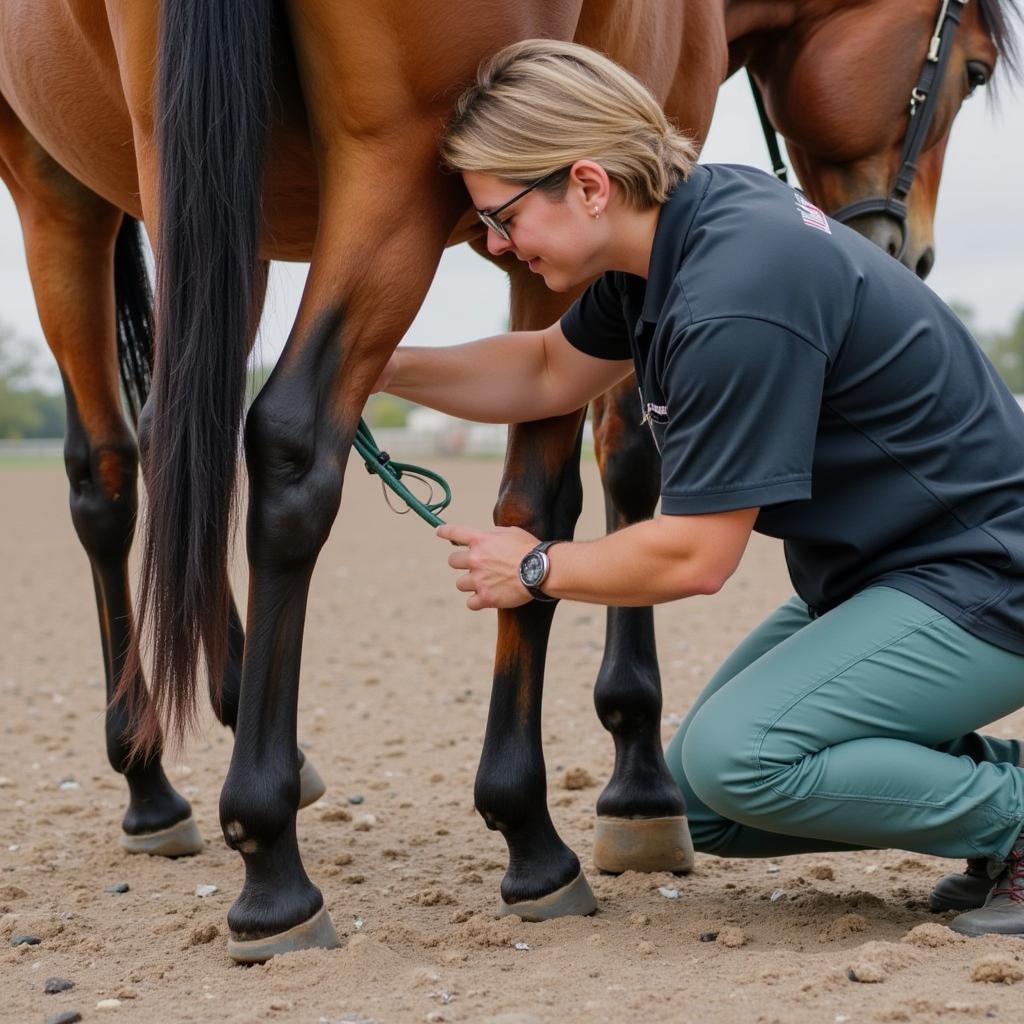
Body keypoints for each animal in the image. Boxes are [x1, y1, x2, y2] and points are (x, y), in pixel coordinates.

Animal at [0, 0, 1007, 958]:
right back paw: (276, 870)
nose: (908, 251)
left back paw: (153, 780)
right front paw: (606, 803)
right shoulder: (572, 227)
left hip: (105, 186)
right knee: (289, 446)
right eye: (972, 69)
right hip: (388, 171)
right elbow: (587, 482)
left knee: (140, 461)